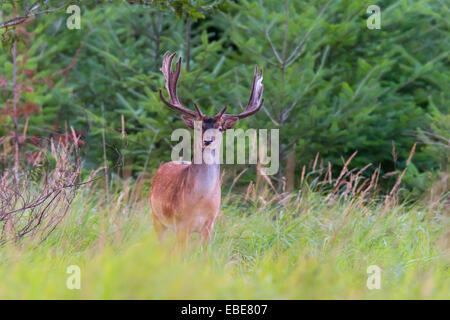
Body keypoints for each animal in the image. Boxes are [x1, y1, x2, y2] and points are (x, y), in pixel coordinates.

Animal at [151, 52, 264, 246]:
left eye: (220, 128)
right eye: (199, 126)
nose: (207, 141)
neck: (200, 201)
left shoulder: (210, 225)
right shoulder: (181, 224)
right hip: (156, 217)